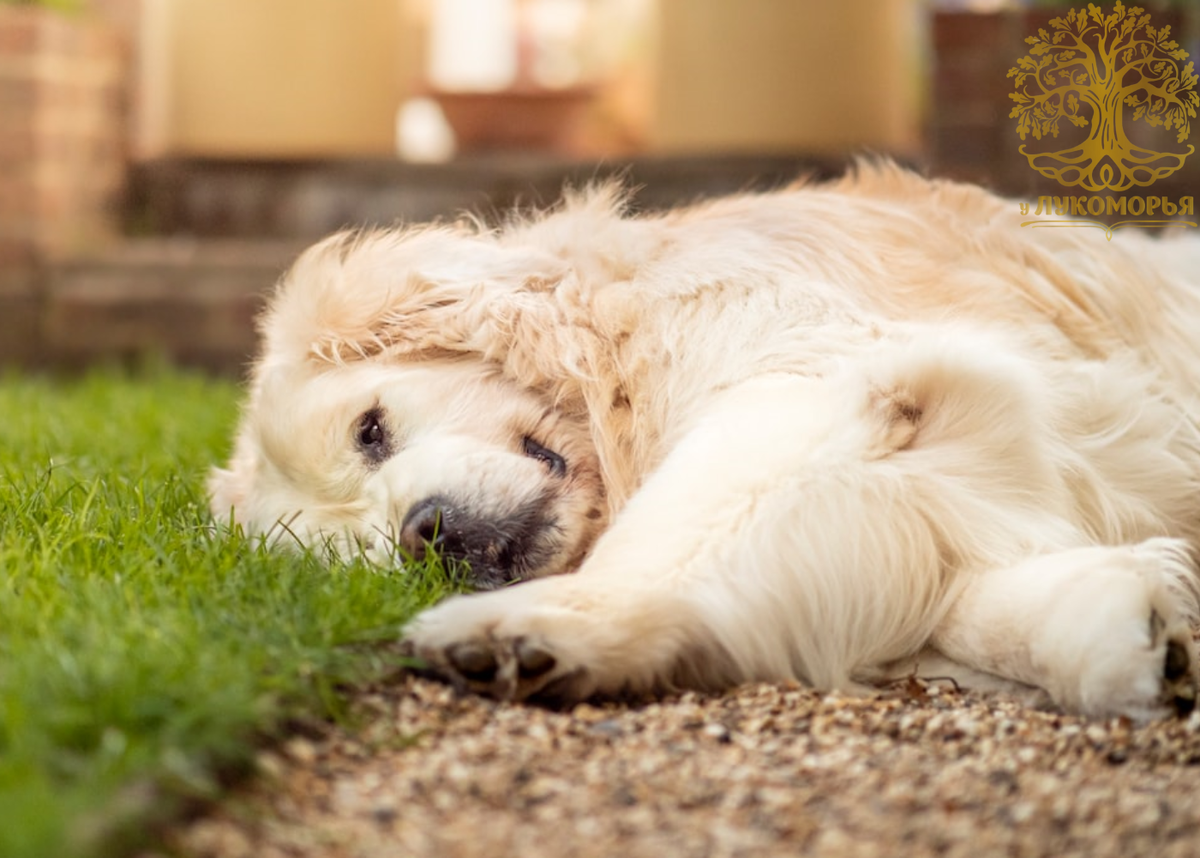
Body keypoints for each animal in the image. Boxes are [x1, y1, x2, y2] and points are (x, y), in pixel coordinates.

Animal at [211, 164, 1200, 720]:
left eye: (370, 430)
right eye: (362, 559)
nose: (428, 536)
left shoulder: (826, 385)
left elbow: (676, 535)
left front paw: (545, 624)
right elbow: (967, 614)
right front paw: (1127, 629)